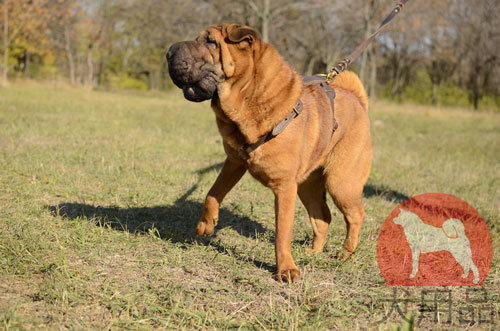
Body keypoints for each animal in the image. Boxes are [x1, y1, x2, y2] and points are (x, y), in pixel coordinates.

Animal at [167, 23, 372, 282]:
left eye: (211, 41)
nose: (168, 53)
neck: (249, 98)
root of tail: (358, 100)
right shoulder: (234, 163)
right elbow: (212, 193)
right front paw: (206, 225)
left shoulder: (284, 188)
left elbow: (282, 233)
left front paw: (286, 270)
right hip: (307, 186)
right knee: (323, 217)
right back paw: (313, 253)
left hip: (340, 183)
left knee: (355, 216)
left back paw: (344, 254)